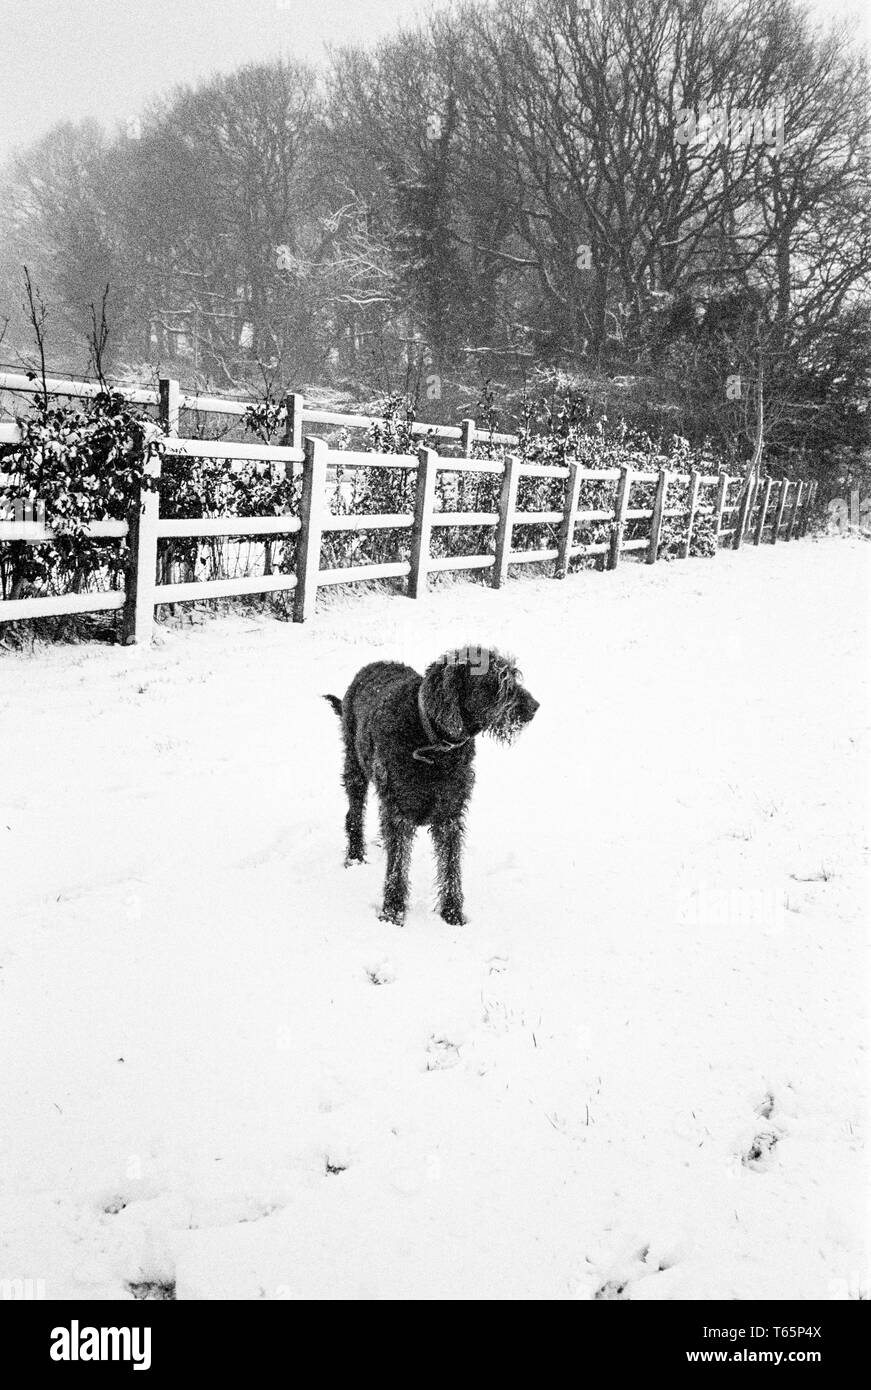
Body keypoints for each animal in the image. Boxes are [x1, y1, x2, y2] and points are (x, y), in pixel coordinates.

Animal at [325, 644, 538, 928]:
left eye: (513, 674)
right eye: (496, 680)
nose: (535, 707)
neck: (432, 743)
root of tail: (374, 664)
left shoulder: (450, 813)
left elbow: (450, 866)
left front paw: (453, 914)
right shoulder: (399, 813)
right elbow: (397, 866)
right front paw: (392, 913)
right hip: (355, 769)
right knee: (354, 814)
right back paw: (355, 856)